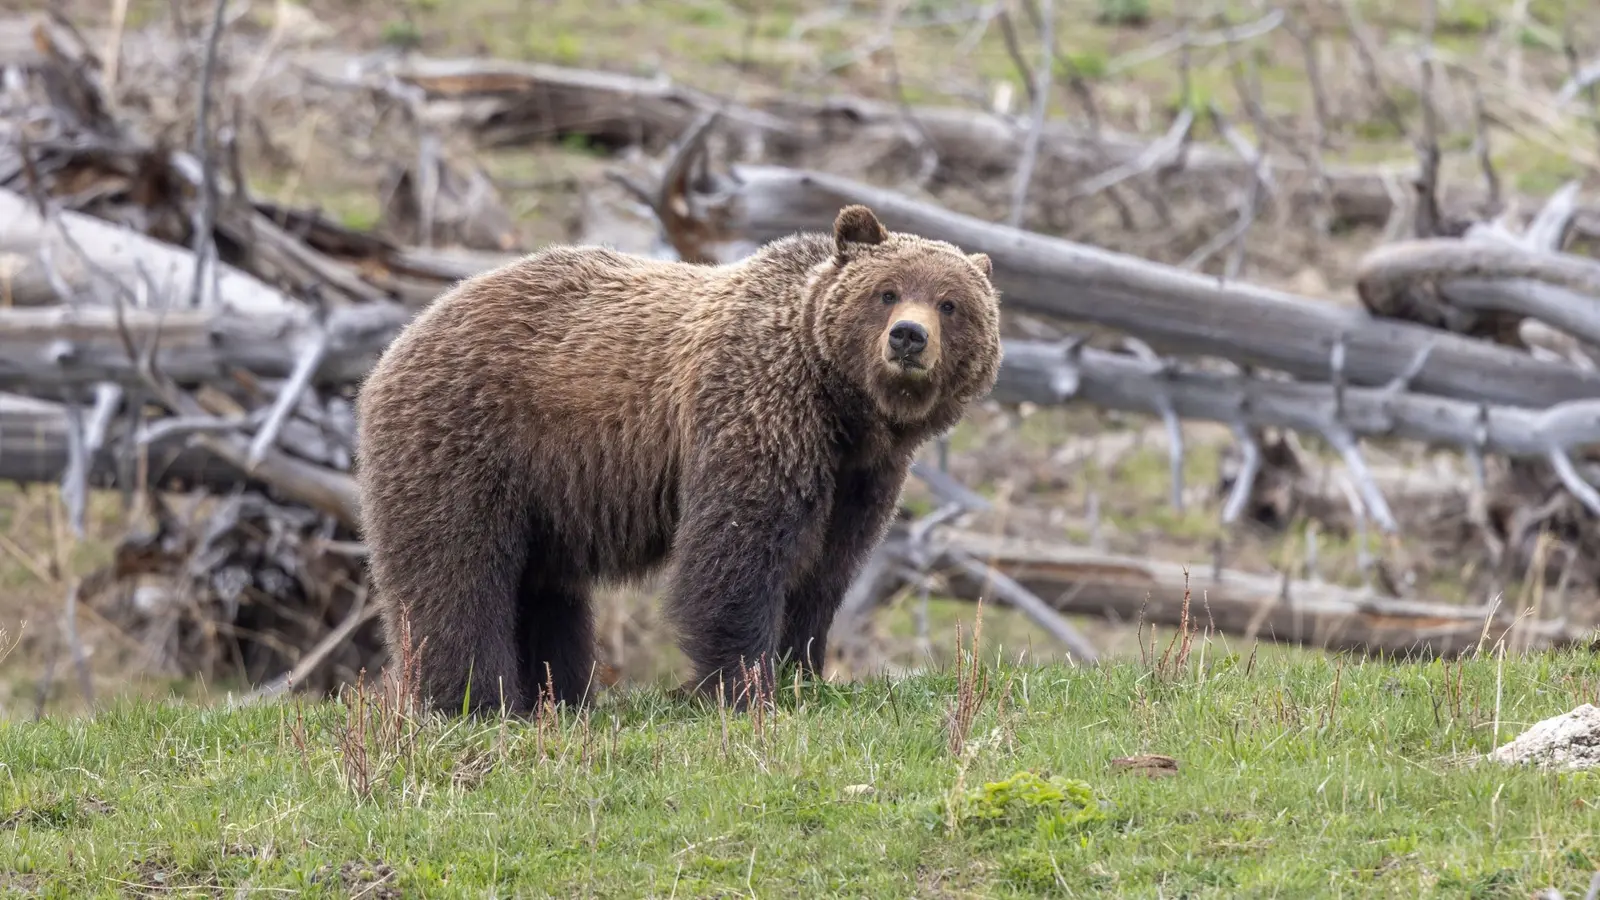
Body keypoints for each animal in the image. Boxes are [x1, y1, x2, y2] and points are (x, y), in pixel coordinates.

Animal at [353, 204, 1002, 716]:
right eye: (886, 291)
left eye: (950, 303)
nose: (908, 337)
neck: (842, 405)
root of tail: (402, 337)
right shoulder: (756, 406)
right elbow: (738, 551)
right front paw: (743, 686)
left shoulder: (861, 475)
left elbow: (825, 568)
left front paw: (802, 669)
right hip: (468, 441)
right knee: (457, 571)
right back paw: (475, 699)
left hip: (545, 490)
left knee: (544, 591)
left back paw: (559, 696)